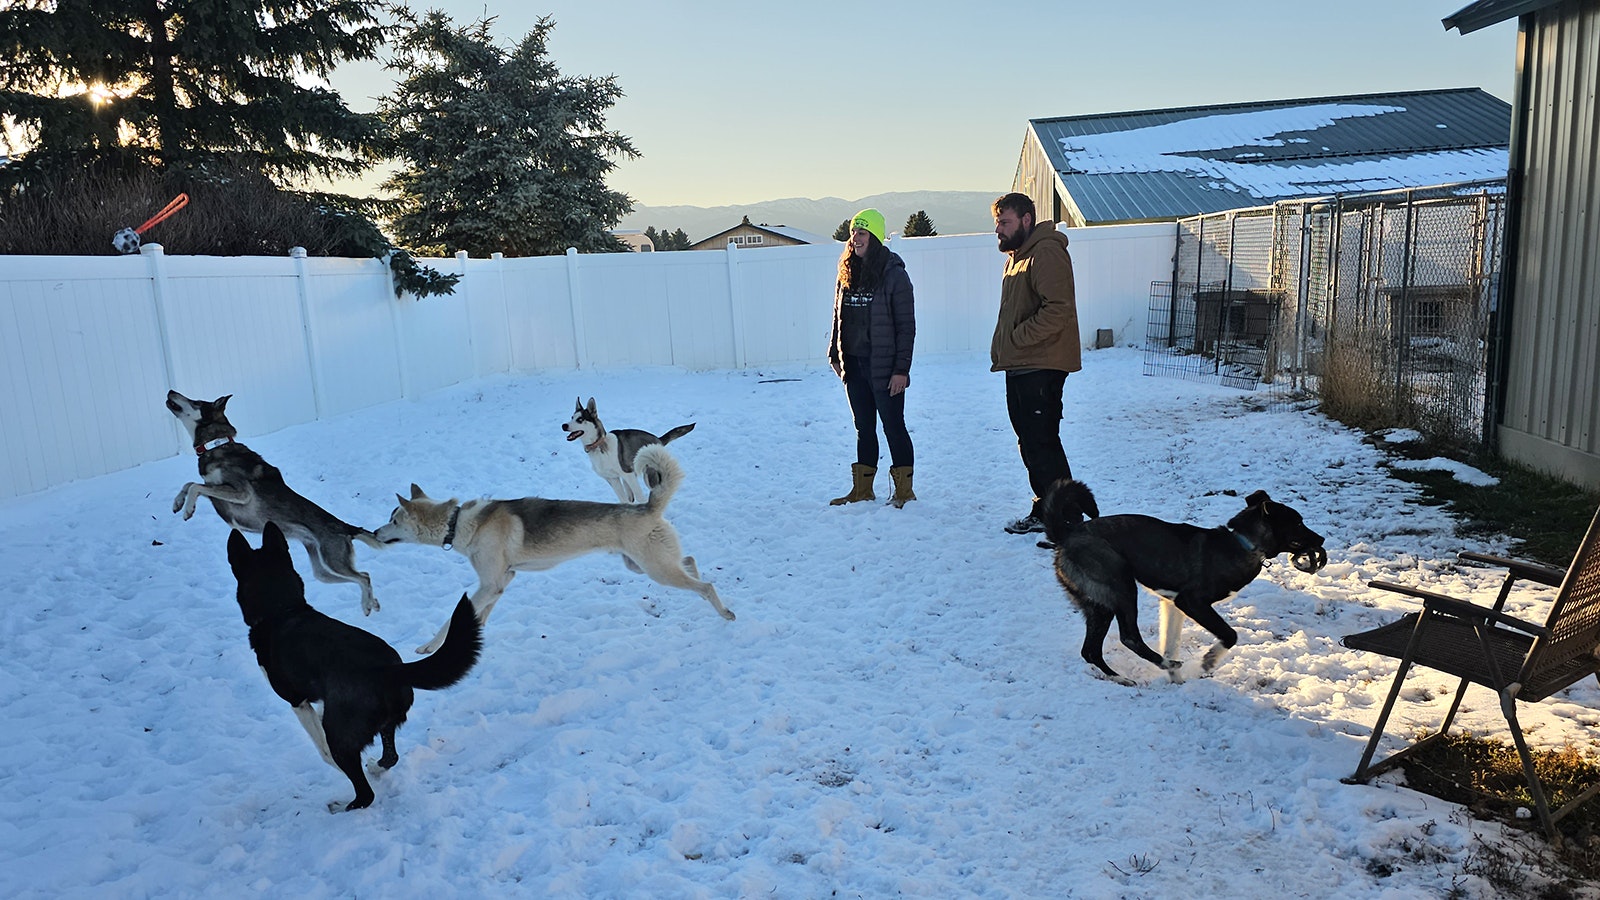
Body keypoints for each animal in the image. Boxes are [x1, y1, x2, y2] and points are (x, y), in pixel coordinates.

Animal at [228, 518, 480, 807]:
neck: (282, 610)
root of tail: (388, 670)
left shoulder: (297, 701)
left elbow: (322, 747)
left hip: (341, 733)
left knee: (364, 791)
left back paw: (343, 805)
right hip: (388, 720)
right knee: (391, 756)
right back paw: (375, 768)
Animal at [374, 441, 732, 646]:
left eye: (394, 519)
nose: (375, 533)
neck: (457, 522)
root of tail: (647, 507)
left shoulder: (490, 583)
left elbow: (450, 621)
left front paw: (428, 647)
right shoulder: (501, 581)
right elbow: (480, 613)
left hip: (655, 569)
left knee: (706, 586)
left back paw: (725, 612)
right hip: (642, 565)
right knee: (690, 561)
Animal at [563, 395, 694, 499]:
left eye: (580, 419)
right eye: (571, 417)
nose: (563, 425)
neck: (599, 445)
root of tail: (658, 439)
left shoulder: (627, 474)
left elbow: (640, 497)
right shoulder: (613, 479)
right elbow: (623, 500)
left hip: (648, 475)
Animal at [1036, 480, 1324, 682]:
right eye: (1299, 523)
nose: (1321, 539)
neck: (1241, 542)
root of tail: (1066, 535)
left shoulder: (1173, 605)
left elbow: (1171, 643)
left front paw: (1176, 680)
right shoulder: (1192, 602)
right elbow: (1229, 634)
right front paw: (1208, 661)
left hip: (1098, 604)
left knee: (1090, 651)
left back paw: (1122, 678)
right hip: (1120, 586)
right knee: (1128, 637)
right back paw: (1160, 666)